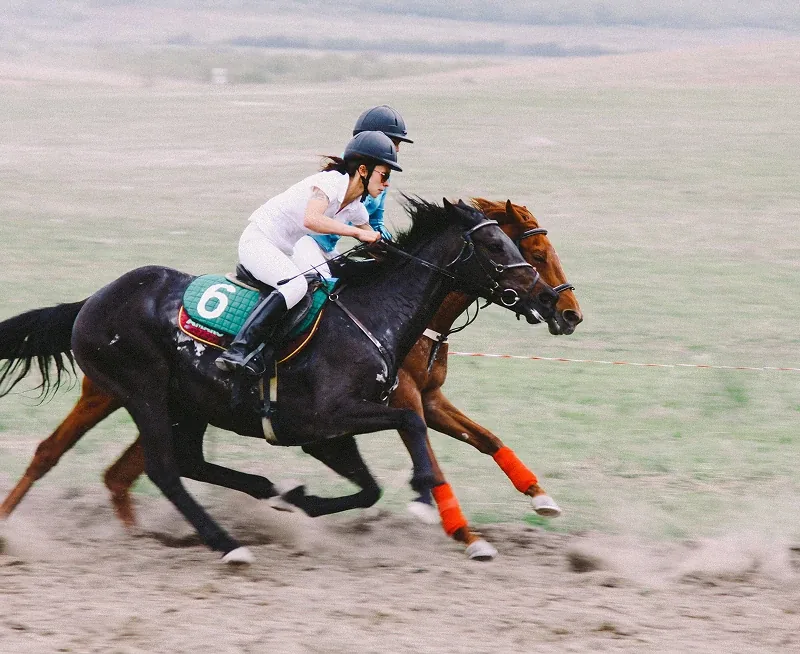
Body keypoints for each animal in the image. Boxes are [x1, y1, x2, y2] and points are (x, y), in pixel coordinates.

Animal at [0, 198, 581, 560]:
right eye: (506, 249)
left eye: (525, 249)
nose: (562, 309)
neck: (378, 315)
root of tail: (94, 299)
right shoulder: (330, 420)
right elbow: (414, 435)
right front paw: (443, 516)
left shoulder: (340, 431)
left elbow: (390, 477)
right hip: (140, 393)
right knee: (159, 469)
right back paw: (228, 544)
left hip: (168, 403)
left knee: (136, 463)